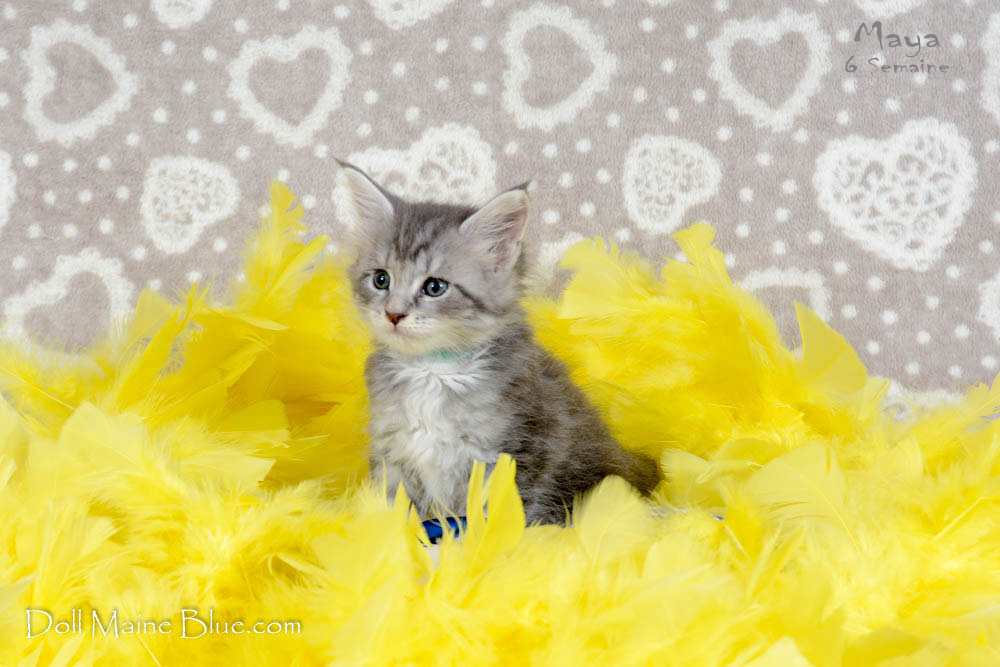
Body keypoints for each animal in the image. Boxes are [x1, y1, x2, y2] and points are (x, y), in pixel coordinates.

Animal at [336, 161, 661, 525]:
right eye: (381, 279)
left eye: (435, 287)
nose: (393, 314)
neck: (432, 370)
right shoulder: (392, 452)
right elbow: (396, 509)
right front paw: (392, 535)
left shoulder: (517, 451)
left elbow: (500, 514)